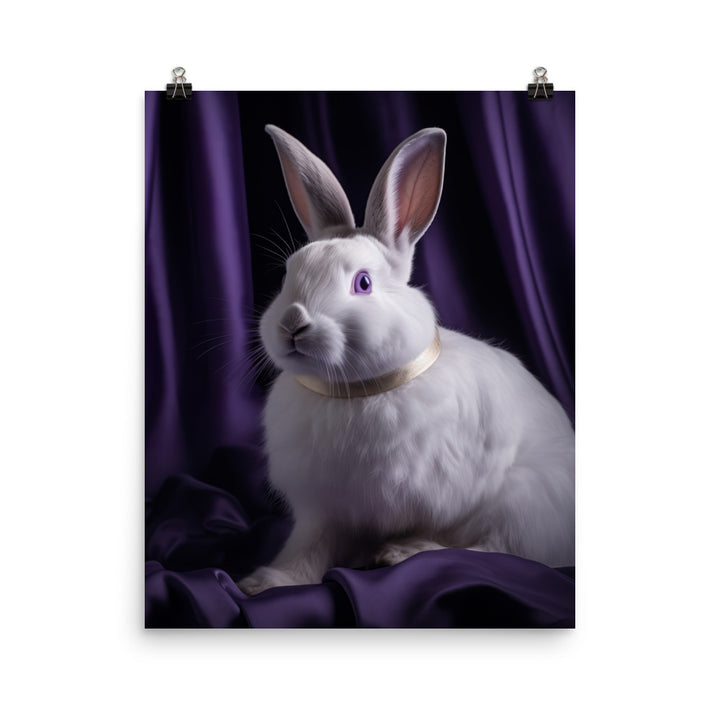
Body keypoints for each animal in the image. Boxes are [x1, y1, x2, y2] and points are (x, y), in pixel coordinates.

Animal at [237, 124, 574, 596]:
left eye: (363, 283)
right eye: (288, 274)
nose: (292, 325)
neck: (353, 390)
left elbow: (453, 537)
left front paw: (400, 550)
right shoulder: (324, 508)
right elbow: (309, 547)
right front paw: (267, 583)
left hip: (525, 500)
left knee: (494, 549)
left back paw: (404, 552)